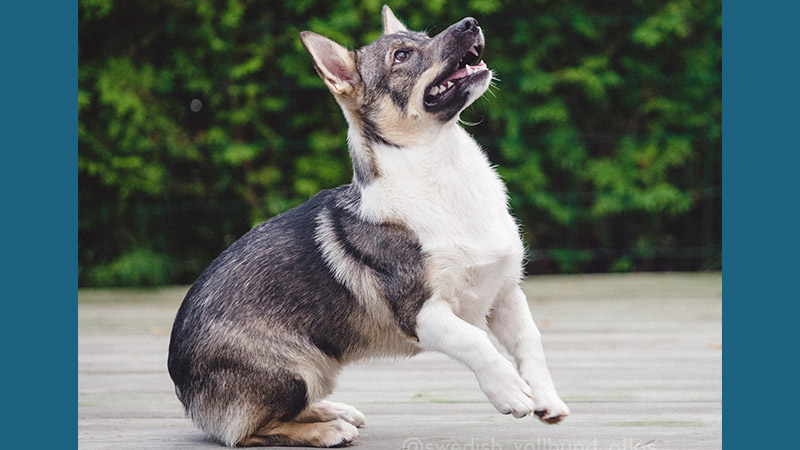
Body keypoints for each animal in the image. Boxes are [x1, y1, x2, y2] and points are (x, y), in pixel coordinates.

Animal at [169, 6, 568, 446]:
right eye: (402, 56)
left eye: (424, 36)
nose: (470, 23)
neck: (441, 169)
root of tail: (185, 391)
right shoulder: (421, 313)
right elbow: (475, 341)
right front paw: (510, 391)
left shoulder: (504, 292)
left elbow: (530, 340)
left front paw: (545, 398)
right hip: (294, 372)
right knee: (248, 432)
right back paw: (329, 429)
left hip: (318, 371)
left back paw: (333, 410)